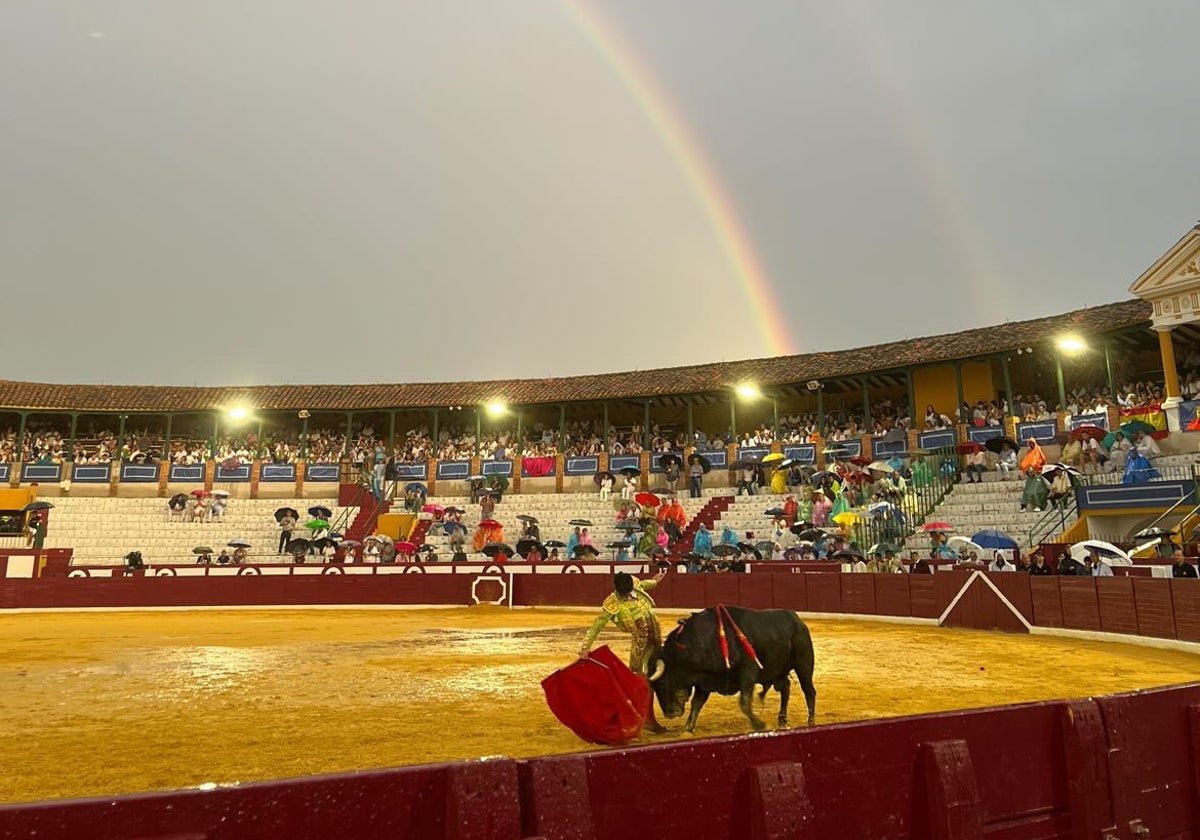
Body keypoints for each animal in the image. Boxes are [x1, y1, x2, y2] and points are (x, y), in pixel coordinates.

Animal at [648, 607, 816, 729]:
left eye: (662, 682)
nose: (669, 714)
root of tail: (797, 620)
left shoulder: (747, 673)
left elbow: (744, 703)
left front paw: (759, 724)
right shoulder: (705, 680)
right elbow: (697, 703)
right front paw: (687, 729)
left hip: (804, 665)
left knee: (809, 691)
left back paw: (811, 722)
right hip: (776, 671)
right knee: (785, 687)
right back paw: (782, 720)